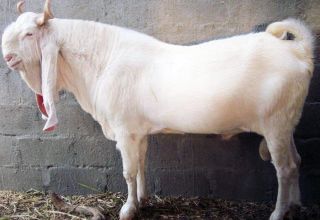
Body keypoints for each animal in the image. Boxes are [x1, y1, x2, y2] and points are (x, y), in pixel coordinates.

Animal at [1, 0, 314, 219]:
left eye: (29, 34)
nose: (7, 57)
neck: (104, 61)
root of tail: (298, 50)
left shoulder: (125, 130)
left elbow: (128, 171)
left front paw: (127, 210)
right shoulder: (139, 132)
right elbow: (141, 165)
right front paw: (142, 200)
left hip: (275, 125)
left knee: (284, 168)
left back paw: (278, 213)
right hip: (287, 125)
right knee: (297, 161)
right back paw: (296, 206)